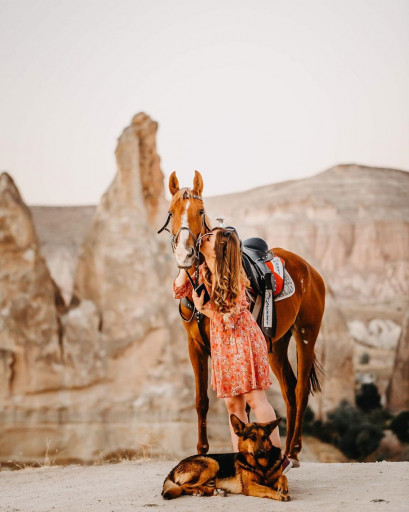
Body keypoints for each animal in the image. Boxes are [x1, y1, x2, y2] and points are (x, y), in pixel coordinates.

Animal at [157, 169, 326, 464]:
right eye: (171, 212)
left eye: (201, 211)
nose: (185, 254)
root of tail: (309, 269)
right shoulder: (195, 346)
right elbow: (201, 400)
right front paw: (202, 451)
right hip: (275, 346)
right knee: (289, 391)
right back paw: (286, 452)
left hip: (307, 335)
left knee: (301, 390)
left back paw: (294, 450)